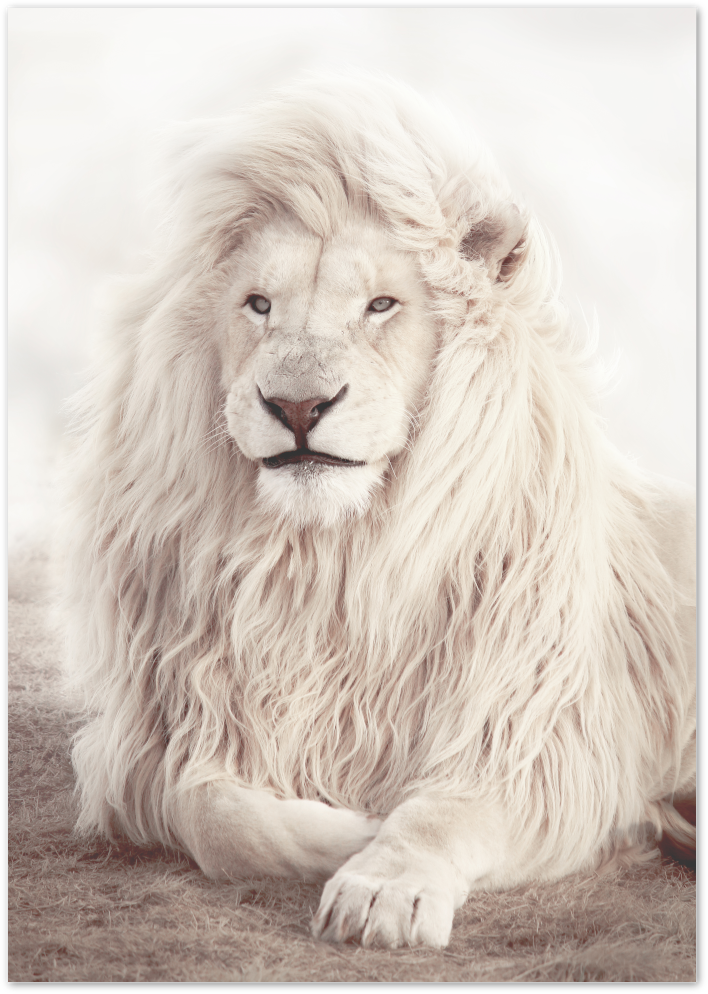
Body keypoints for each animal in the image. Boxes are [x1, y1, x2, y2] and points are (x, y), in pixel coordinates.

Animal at [62, 75, 695, 950]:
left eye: (383, 305)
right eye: (258, 304)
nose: (297, 405)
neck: (330, 561)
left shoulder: (540, 741)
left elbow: (440, 813)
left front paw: (381, 882)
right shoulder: (162, 738)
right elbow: (214, 813)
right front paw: (349, 830)